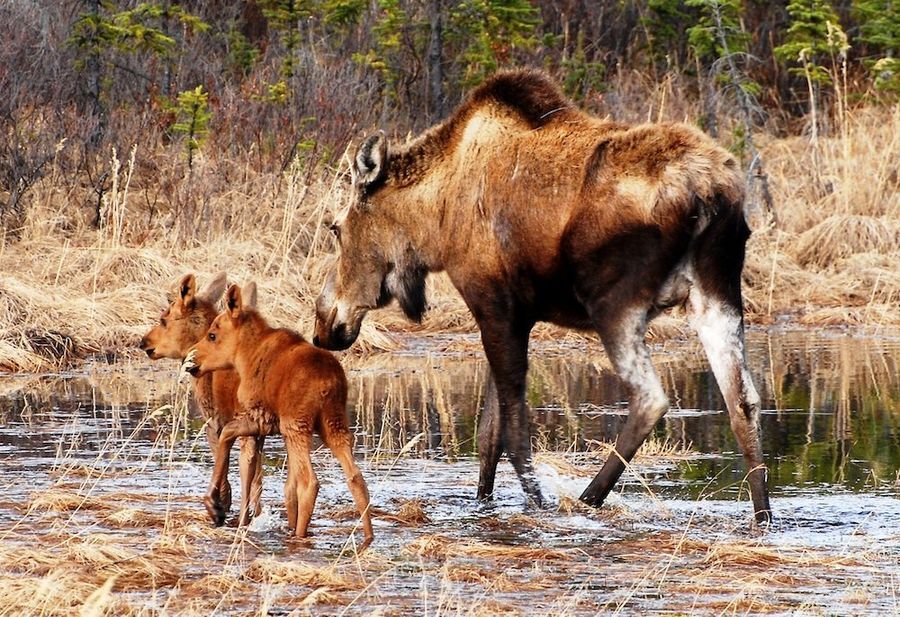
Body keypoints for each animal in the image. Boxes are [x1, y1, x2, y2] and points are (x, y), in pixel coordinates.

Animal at [185, 284, 372, 544]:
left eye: (212, 335)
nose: (192, 359)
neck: (243, 357)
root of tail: (329, 382)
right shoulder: (273, 425)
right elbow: (283, 485)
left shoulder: (262, 417)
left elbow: (227, 435)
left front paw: (215, 504)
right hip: (333, 424)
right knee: (356, 477)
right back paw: (368, 536)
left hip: (297, 424)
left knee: (310, 482)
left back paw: (300, 536)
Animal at [312, 67, 768, 524]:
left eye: (336, 228)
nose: (323, 324)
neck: (434, 226)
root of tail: (711, 193)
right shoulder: (513, 315)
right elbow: (489, 435)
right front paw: (483, 501)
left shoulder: (494, 306)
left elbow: (514, 434)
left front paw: (536, 503)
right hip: (717, 293)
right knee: (743, 401)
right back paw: (762, 515)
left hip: (613, 301)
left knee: (650, 399)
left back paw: (587, 498)